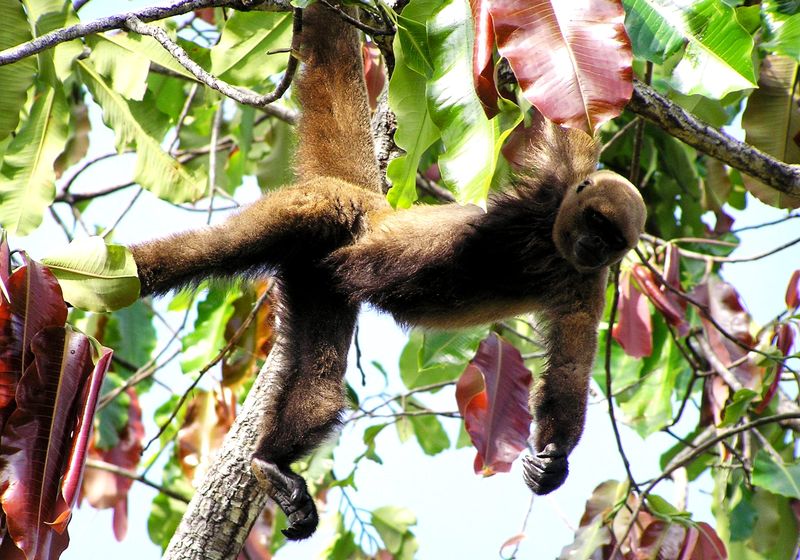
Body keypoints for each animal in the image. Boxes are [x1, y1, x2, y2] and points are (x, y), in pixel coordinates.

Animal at [129, 1, 646, 541]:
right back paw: (127, 269)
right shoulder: (557, 183)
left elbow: (569, 367)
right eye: (595, 222)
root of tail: (367, 204)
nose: (593, 246)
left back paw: (272, 464)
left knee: (320, 390)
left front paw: (553, 463)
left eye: (613, 241)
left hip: (319, 280)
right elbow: (569, 124)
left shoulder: (586, 282)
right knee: (213, 249)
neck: (549, 241)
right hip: (321, 209)